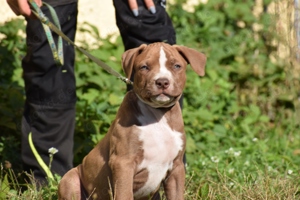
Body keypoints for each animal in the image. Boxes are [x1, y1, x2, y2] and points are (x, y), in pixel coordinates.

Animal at [57, 42, 205, 200]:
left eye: (176, 66)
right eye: (144, 67)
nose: (162, 82)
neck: (158, 115)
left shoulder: (176, 167)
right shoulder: (123, 163)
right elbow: (125, 193)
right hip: (70, 179)